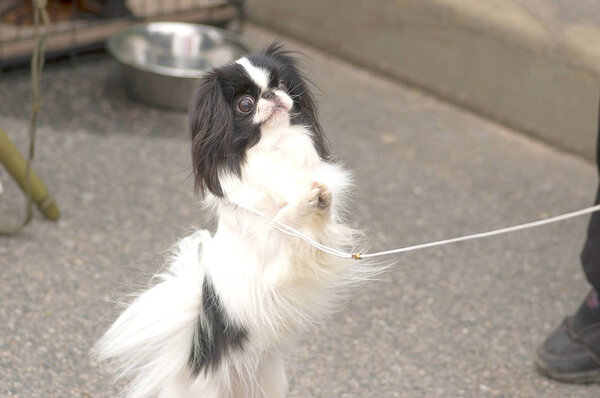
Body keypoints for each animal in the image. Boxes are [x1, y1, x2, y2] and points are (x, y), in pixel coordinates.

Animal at [94, 43, 378, 398]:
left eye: (281, 84)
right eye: (245, 104)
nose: (271, 94)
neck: (275, 149)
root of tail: (196, 353)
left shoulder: (316, 240)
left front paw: (319, 199)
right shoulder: (273, 249)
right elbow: (282, 219)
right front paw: (303, 202)